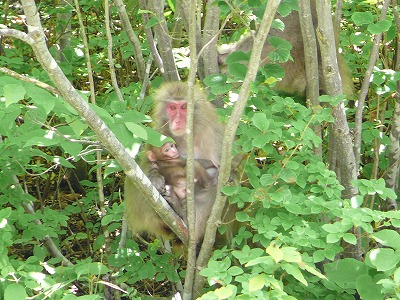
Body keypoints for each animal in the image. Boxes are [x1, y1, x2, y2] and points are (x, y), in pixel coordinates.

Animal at [125, 81, 227, 244]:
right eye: (172, 108)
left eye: (184, 107)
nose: (178, 121)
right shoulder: (159, 130)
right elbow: (145, 165)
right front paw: (155, 177)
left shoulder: (214, 132)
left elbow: (225, 170)